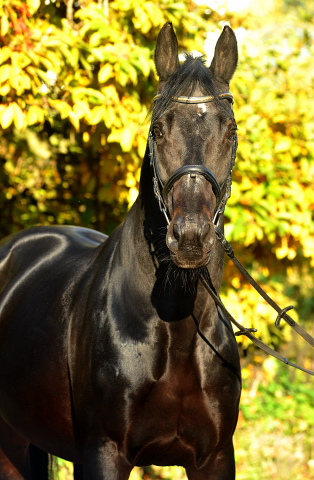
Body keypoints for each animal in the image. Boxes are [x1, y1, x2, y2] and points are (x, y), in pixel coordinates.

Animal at [0, 21, 240, 480]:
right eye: (158, 129)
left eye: (230, 131)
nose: (190, 238)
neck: (177, 330)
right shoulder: (105, 453)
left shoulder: (216, 459)